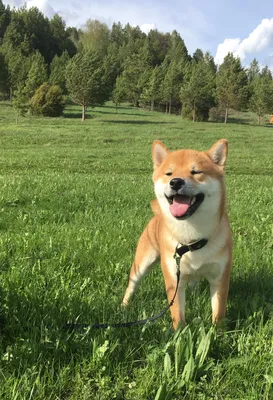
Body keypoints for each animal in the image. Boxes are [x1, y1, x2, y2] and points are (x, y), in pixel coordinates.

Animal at [122, 140, 232, 328]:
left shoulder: (220, 277)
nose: (175, 182)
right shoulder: (174, 280)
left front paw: (218, 332)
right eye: (169, 173)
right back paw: (124, 305)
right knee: (132, 285)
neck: (192, 237)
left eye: (196, 172)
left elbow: (218, 312)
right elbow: (177, 315)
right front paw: (180, 333)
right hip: (142, 262)